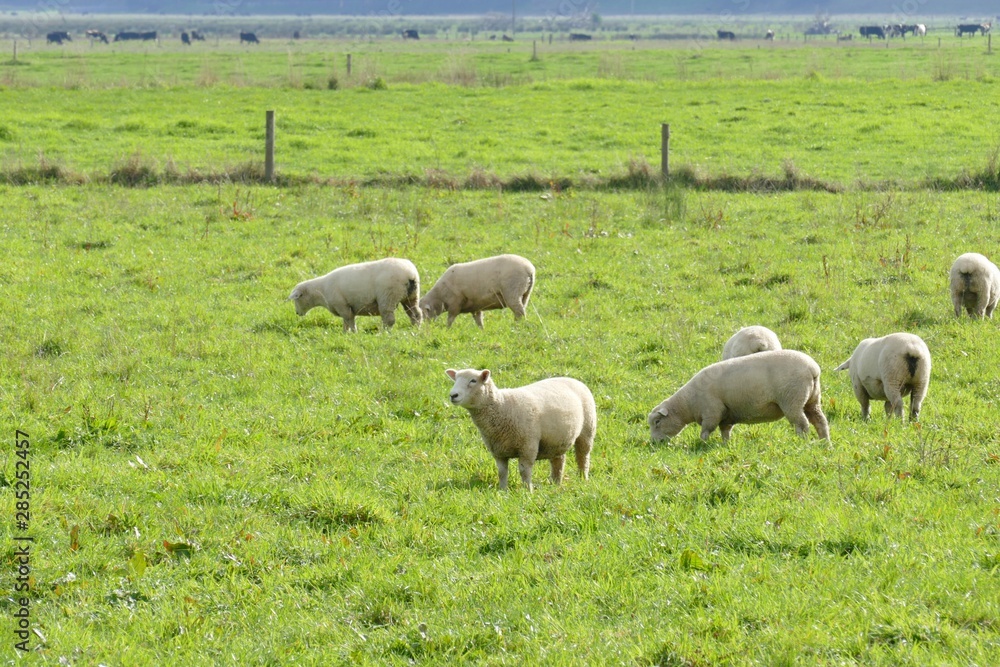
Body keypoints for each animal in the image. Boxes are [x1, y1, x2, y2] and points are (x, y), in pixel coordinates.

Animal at [288, 258, 420, 332]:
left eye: (297, 299)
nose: (297, 313)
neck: (321, 291)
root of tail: (410, 274)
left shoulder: (342, 305)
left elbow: (349, 319)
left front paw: (353, 332)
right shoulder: (344, 307)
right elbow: (345, 321)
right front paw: (344, 333)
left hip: (388, 297)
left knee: (389, 319)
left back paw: (384, 333)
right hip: (411, 296)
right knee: (416, 313)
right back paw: (416, 328)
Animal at [446, 368, 592, 494]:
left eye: (473, 380)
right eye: (455, 379)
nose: (453, 395)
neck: (502, 405)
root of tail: (572, 379)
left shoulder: (527, 446)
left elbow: (524, 471)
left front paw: (528, 490)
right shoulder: (498, 450)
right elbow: (502, 472)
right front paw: (502, 490)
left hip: (587, 429)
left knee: (583, 456)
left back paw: (583, 479)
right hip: (556, 439)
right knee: (558, 460)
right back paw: (556, 483)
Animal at [648, 350, 828, 444]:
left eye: (657, 422)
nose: (654, 443)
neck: (687, 404)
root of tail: (813, 369)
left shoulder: (712, 411)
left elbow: (706, 430)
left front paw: (702, 443)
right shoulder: (725, 414)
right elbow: (725, 430)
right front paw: (725, 445)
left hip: (792, 400)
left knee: (802, 424)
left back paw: (802, 441)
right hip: (812, 400)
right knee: (820, 421)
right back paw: (825, 443)